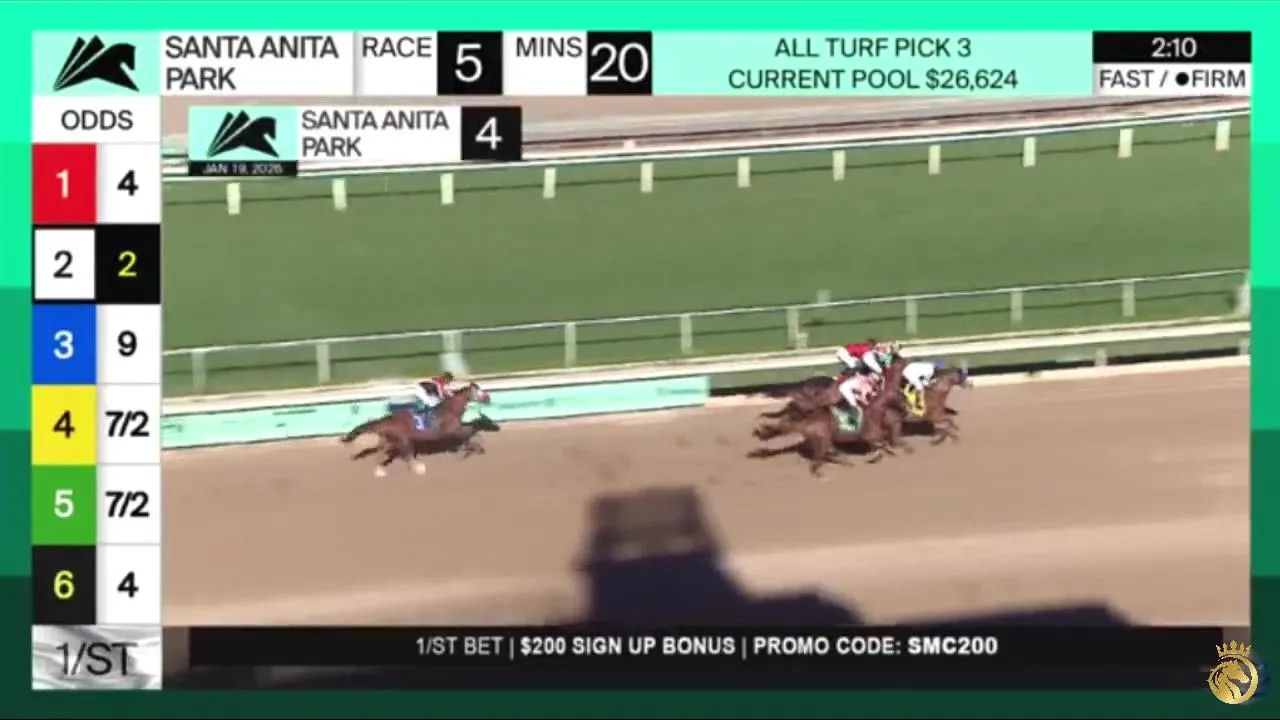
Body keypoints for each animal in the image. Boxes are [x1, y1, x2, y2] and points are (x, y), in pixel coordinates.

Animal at [341, 382, 492, 477]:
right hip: (402, 439)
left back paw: (380, 471)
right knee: (406, 455)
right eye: (478, 391)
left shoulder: (455, 429)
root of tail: (385, 420)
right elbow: (468, 433)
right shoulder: (451, 430)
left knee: (380, 452)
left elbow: (469, 431)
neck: (451, 410)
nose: (488, 398)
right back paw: (418, 468)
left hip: (388, 440)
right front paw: (475, 447)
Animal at [749, 381, 910, 477]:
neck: (874, 411)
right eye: (902, 396)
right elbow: (881, 445)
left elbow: (881, 446)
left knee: (825, 454)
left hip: (820, 439)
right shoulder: (870, 436)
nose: (907, 408)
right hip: (823, 440)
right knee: (820, 458)